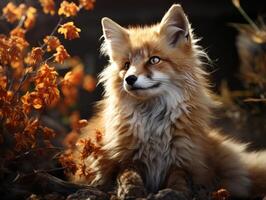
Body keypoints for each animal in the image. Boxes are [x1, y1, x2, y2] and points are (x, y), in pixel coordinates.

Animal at [70, 3, 266, 199]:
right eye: (126, 65)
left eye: (154, 60)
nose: (129, 79)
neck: (154, 123)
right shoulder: (124, 158)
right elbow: (127, 174)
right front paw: (130, 190)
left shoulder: (182, 160)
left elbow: (180, 179)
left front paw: (173, 192)